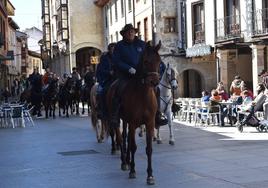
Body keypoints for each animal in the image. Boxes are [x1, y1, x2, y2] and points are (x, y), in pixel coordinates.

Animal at [106, 40, 161, 185]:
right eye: (146, 61)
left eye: (159, 61)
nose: (154, 82)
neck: (142, 95)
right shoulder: (133, 123)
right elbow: (133, 146)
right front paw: (132, 170)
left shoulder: (149, 123)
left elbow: (148, 149)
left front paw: (150, 175)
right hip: (118, 119)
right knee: (121, 138)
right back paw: (125, 162)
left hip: (126, 122)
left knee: (126, 139)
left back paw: (128, 160)